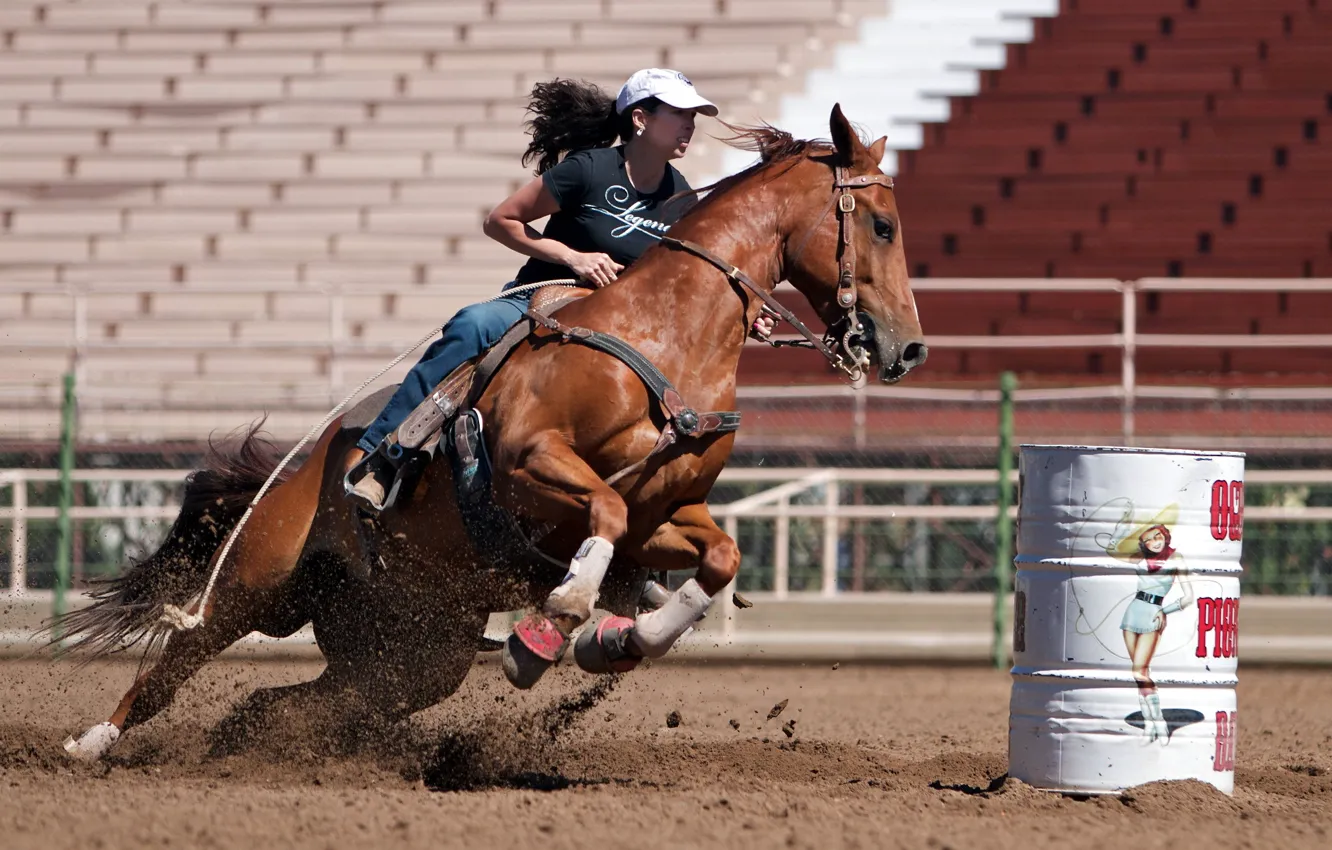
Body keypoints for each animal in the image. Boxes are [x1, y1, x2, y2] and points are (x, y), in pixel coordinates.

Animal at [57, 105, 927, 760]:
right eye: (883, 225)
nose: (908, 348)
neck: (665, 337)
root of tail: (299, 468)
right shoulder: (528, 466)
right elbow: (604, 514)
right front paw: (556, 622)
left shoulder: (667, 515)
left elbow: (718, 559)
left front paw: (619, 639)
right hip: (257, 582)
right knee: (175, 662)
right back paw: (91, 743)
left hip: (412, 648)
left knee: (291, 702)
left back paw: (249, 746)